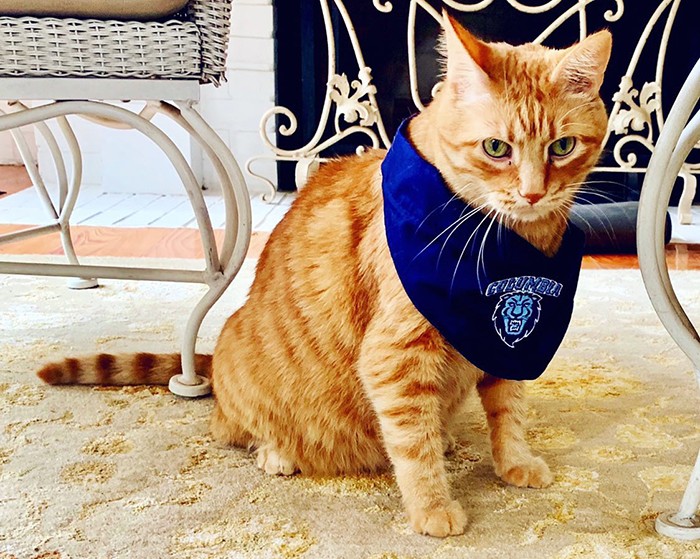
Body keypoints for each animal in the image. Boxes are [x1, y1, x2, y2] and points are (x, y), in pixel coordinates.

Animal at [37, 14, 612, 540]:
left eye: (562, 147)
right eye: (497, 148)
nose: (534, 194)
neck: (515, 245)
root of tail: (216, 360)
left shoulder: (508, 349)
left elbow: (509, 415)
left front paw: (514, 463)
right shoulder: (395, 359)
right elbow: (413, 447)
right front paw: (432, 508)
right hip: (243, 375)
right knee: (230, 427)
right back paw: (276, 453)